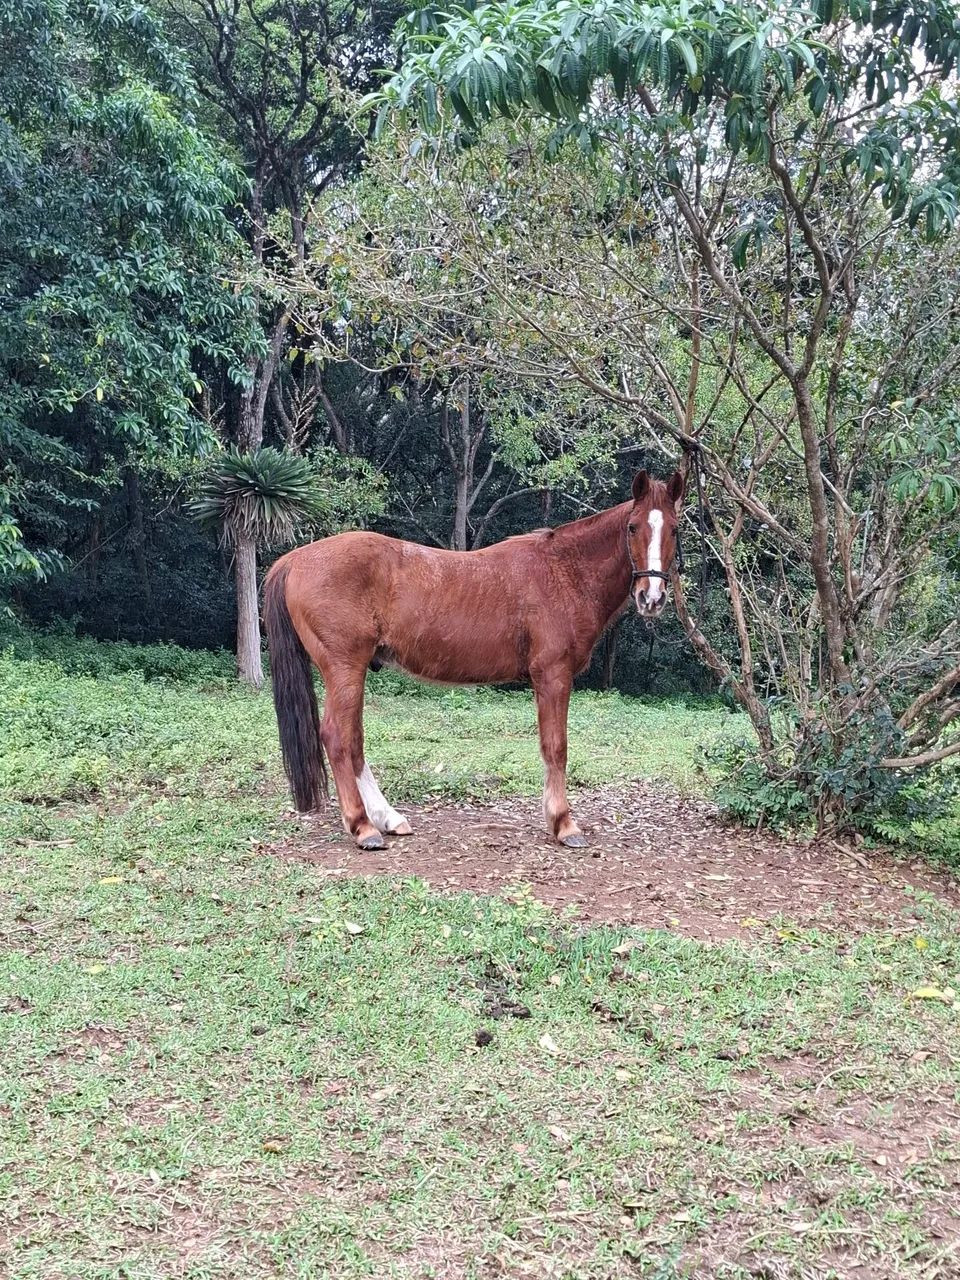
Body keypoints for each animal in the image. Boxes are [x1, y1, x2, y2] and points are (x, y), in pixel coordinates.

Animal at [263, 468, 685, 850]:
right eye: (632, 527)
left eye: (675, 529)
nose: (652, 597)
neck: (564, 572)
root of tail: (294, 560)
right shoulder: (552, 675)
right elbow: (556, 746)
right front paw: (564, 825)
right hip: (344, 668)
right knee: (337, 737)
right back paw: (363, 828)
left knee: (354, 741)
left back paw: (388, 819)